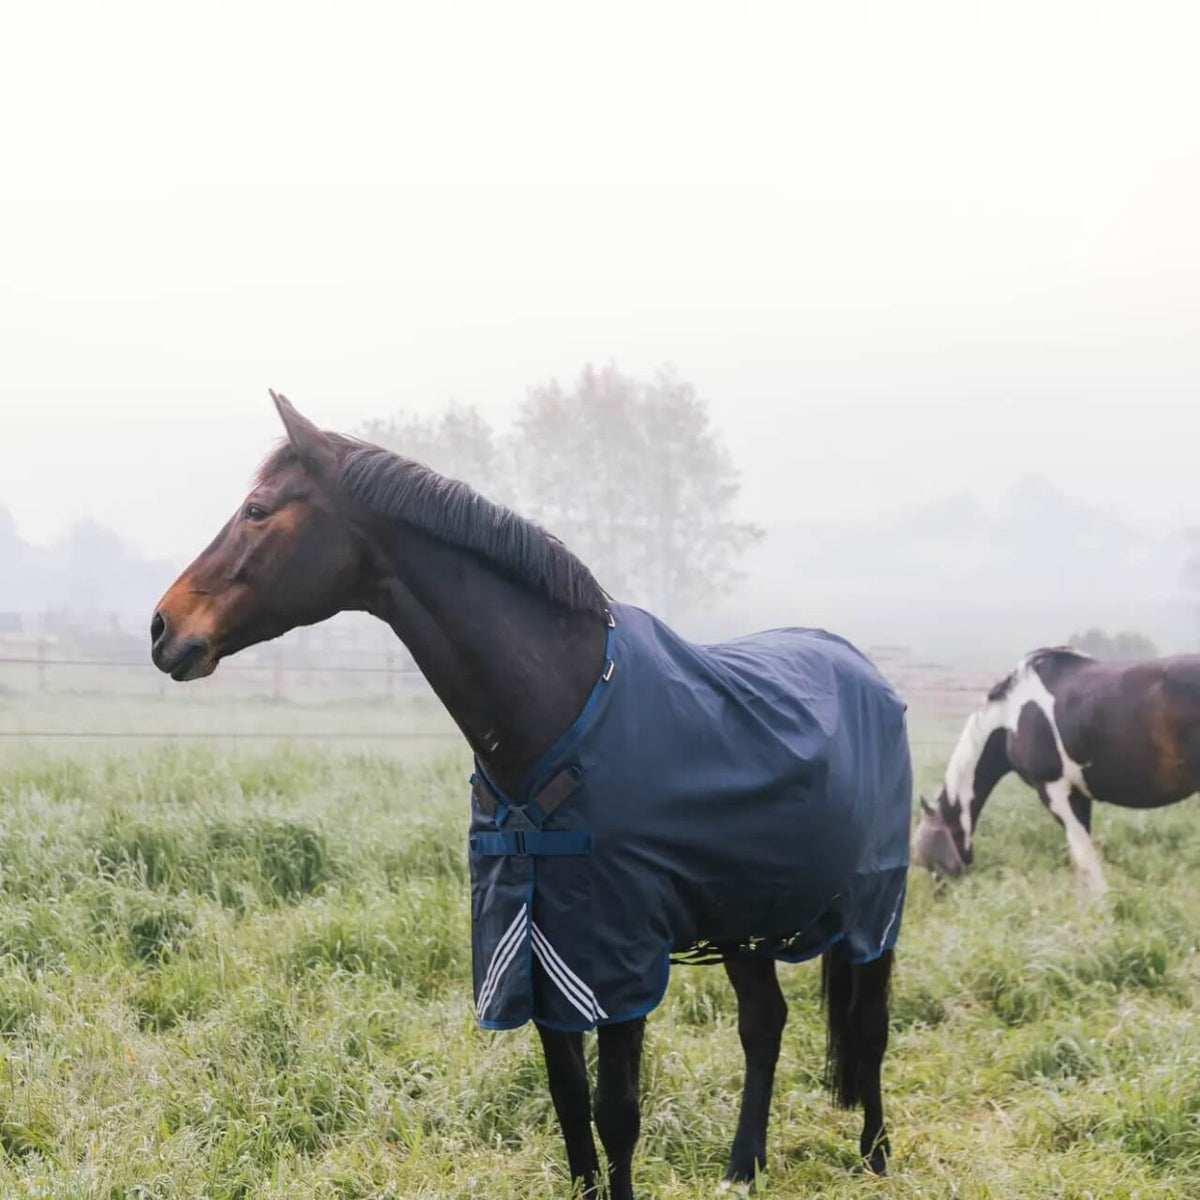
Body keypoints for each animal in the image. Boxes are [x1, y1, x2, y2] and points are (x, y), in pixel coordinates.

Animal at [151, 392, 912, 1198]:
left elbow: (616, 1112)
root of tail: (866, 670)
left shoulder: (615, 956)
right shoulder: (538, 947)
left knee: (869, 1029)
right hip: (746, 916)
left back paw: (875, 1154)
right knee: (763, 1024)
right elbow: (570, 1101)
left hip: (873, 911)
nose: (162, 627)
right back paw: (743, 1166)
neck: (561, 707)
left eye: (257, 511)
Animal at [911, 645, 1200, 894]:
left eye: (928, 858)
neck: (1011, 716)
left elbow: (1085, 860)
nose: (941, 896)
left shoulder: (1054, 792)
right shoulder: (1079, 796)